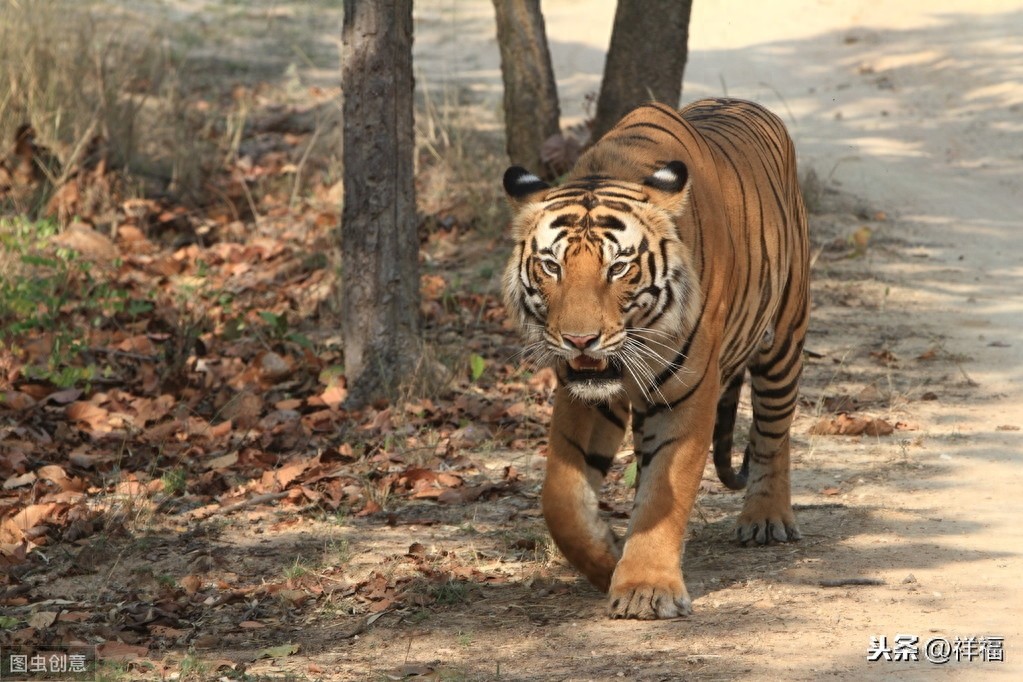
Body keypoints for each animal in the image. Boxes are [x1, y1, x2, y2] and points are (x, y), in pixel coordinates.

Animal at [501, 98, 810, 619]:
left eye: (618, 268)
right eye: (551, 266)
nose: (579, 340)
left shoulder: (689, 391)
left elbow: (666, 491)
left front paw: (646, 588)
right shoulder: (582, 395)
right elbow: (561, 497)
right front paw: (606, 561)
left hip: (784, 337)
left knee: (773, 429)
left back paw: (766, 518)